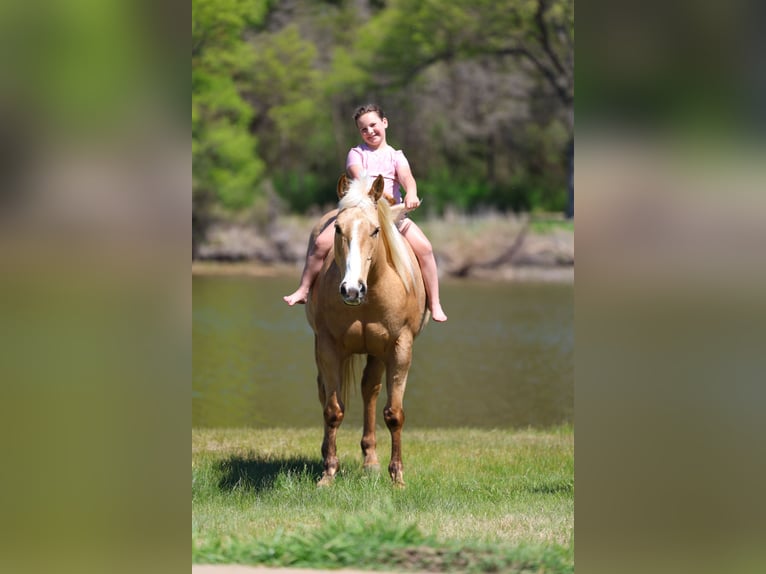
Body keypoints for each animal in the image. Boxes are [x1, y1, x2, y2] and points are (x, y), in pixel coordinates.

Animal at [305, 173, 430, 486]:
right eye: (338, 228)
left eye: (375, 230)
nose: (351, 290)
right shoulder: (328, 346)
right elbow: (333, 410)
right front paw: (328, 473)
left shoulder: (400, 347)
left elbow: (394, 414)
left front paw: (397, 477)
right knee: (325, 392)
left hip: (376, 353)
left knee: (369, 390)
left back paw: (371, 461)